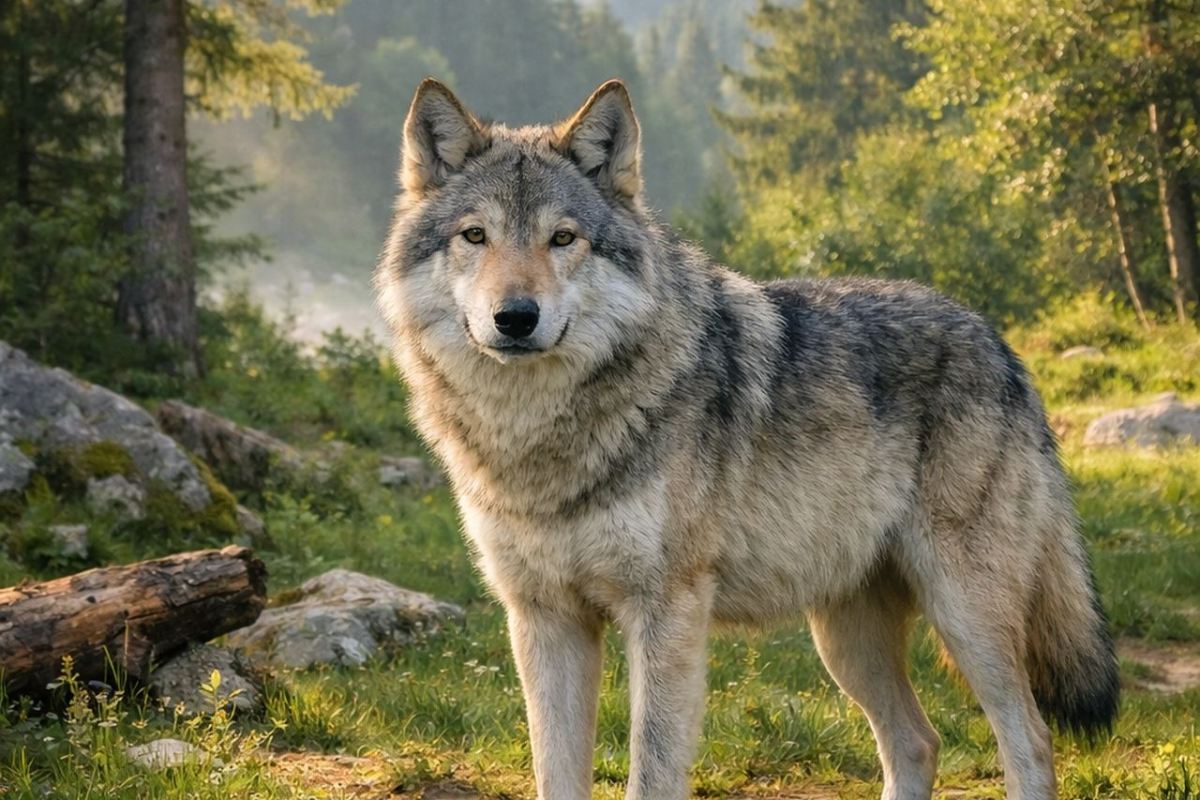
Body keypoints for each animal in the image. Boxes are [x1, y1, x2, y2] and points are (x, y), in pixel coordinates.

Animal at [375, 78, 1119, 800]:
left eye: (563, 238)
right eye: (475, 235)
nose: (516, 316)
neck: (537, 437)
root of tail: (1000, 344)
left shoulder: (667, 611)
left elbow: (652, 772)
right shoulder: (544, 619)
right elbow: (554, 775)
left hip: (965, 618)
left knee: (1031, 742)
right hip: (846, 642)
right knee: (918, 741)